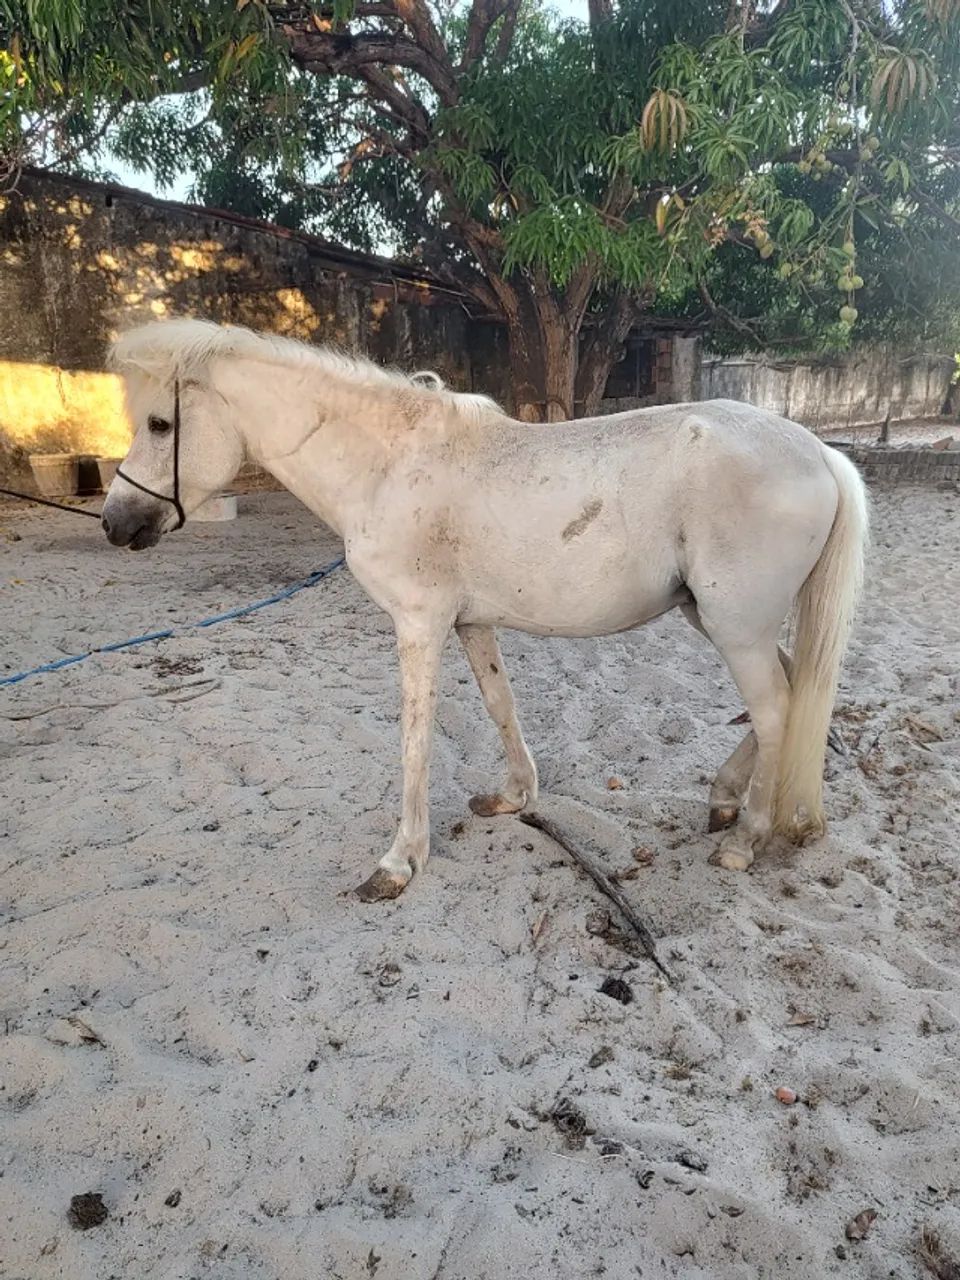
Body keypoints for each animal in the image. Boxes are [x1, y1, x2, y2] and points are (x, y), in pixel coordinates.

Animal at [101, 318, 868, 901]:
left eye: (161, 424)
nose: (115, 523)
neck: (388, 466)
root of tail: (820, 454)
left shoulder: (418, 625)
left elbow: (414, 739)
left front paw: (399, 862)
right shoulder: (471, 624)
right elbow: (502, 705)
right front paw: (514, 798)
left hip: (736, 628)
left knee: (775, 710)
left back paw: (745, 840)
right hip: (716, 619)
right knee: (792, 692)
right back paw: (723, 800)